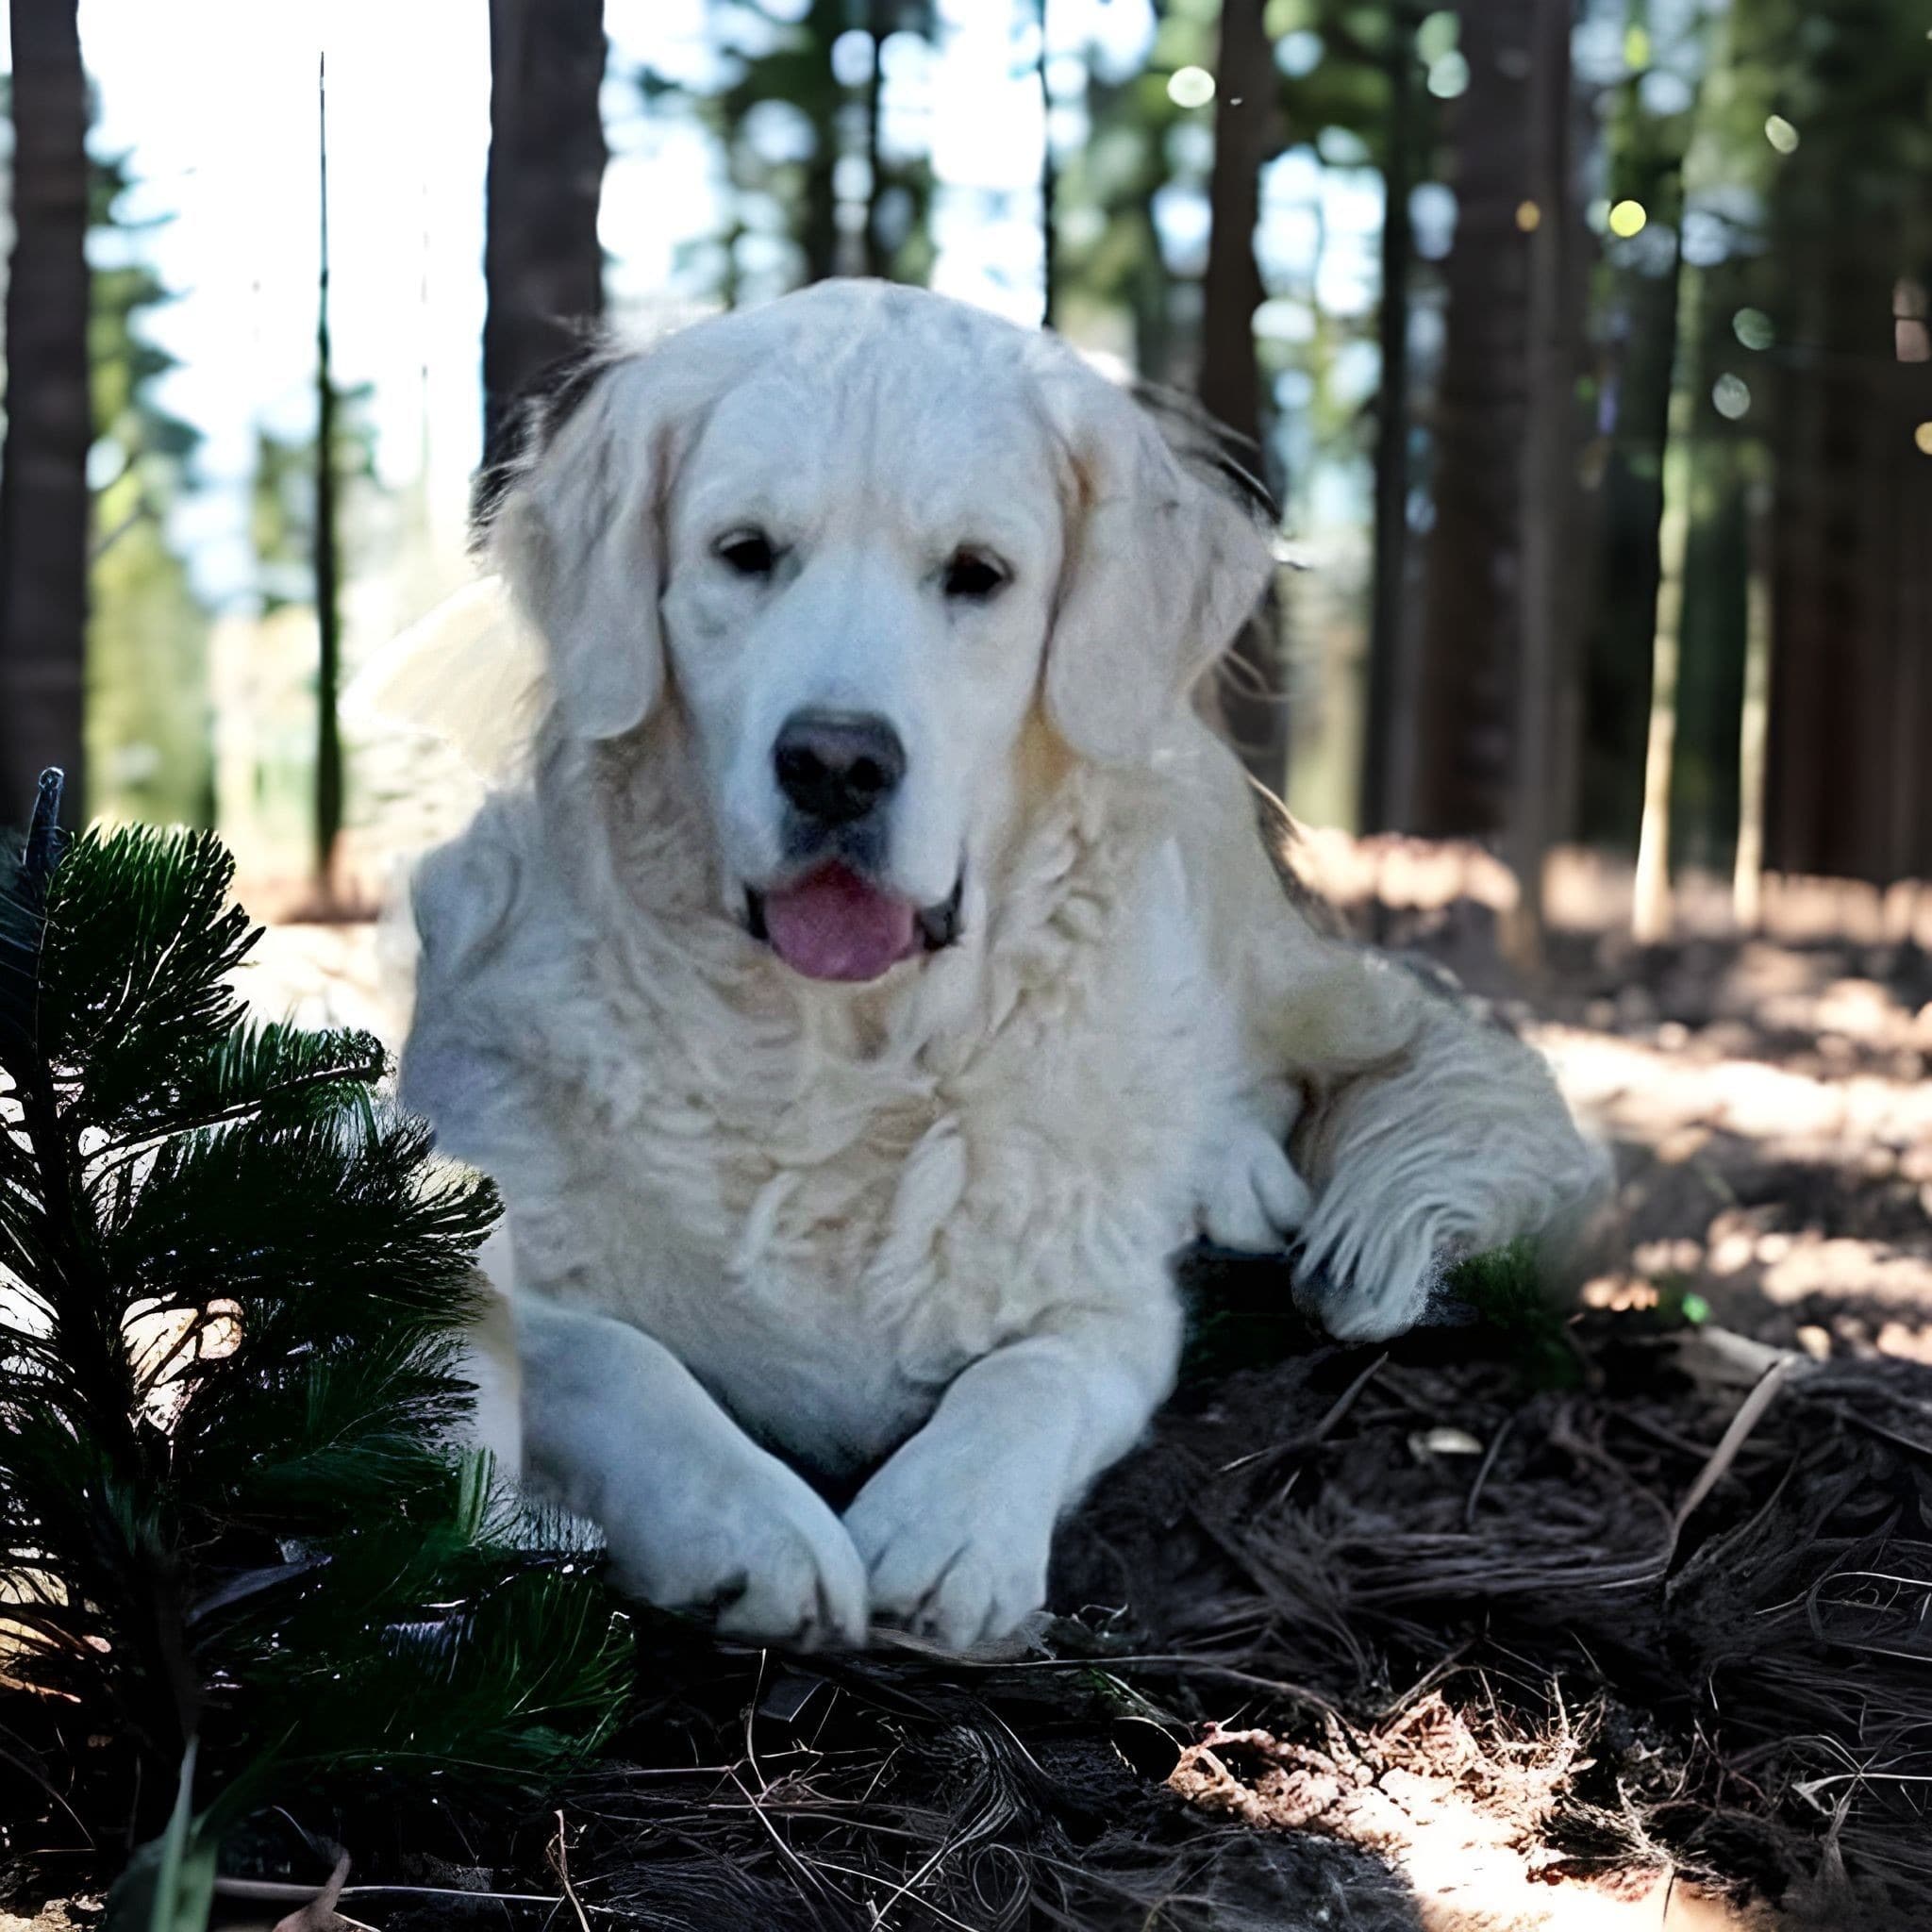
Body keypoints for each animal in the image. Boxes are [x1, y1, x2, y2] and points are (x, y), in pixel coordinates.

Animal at [388, 279, 1599, 1654]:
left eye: (977, 577)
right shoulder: (474, 1218)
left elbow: (1038, 1370)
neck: (839, 1058)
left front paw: (945, 1530)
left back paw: (1236, 1169)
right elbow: (611, 1357)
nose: (837, 763)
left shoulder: (1110, 1306)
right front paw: (745, 1525)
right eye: (744, 553)